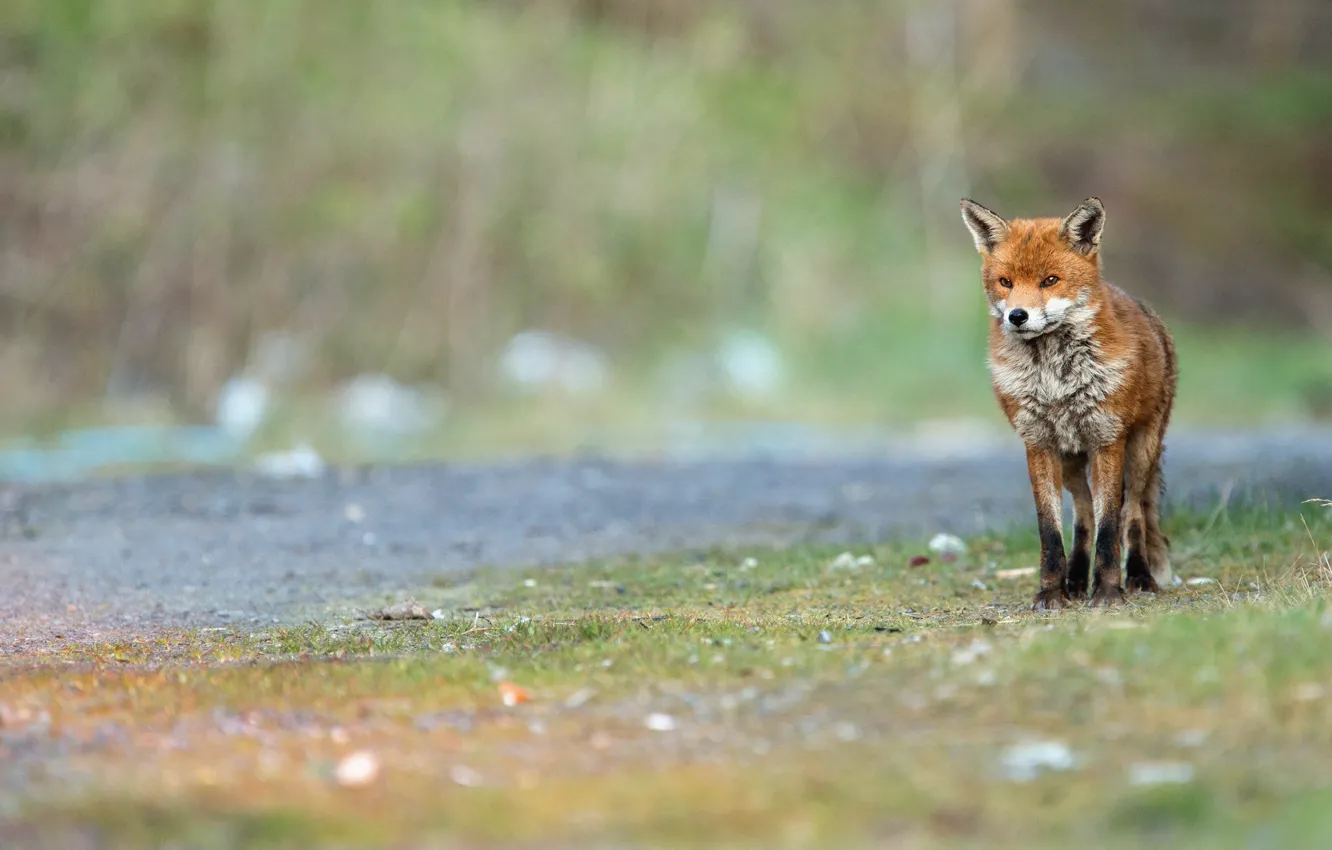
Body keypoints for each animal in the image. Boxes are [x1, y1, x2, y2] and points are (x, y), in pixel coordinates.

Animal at [959, 197, 1178, 610]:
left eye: (1050, 280)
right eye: (1006, 282)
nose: (1017, 316)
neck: (1055, 381)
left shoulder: (1108, 439)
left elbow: (1111, 529)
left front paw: (1108, 592)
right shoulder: (1037, 443)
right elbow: (1051, 531)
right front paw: (1050, 591)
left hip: (1140, 451)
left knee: (1133, 514)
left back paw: (1138, 576)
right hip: (1072, 459)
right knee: (1083, 515)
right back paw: (1075, 579)